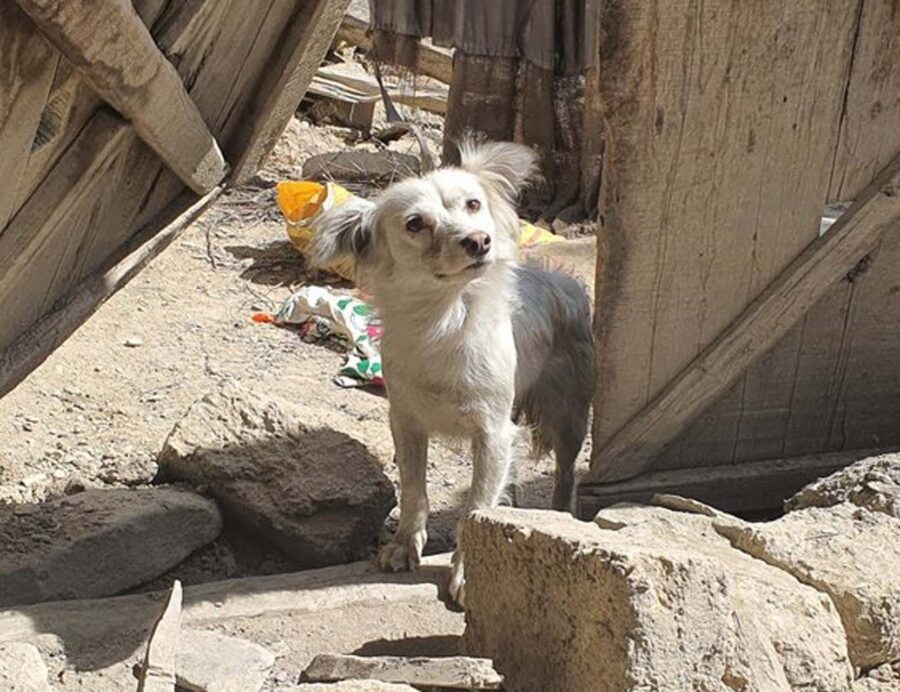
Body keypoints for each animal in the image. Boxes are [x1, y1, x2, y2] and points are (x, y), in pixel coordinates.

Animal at [312, 142, 596, 604]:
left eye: (474, 205)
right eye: (416, 224)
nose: (479, 240)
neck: (445, 318)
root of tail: (559, 275)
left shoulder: (493, 432)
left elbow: (475, 507)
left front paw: (467, 573)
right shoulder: (406, 423)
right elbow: (414, 491)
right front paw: (405, 546)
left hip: (567, 417)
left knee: (565, 474)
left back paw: (556, 516)